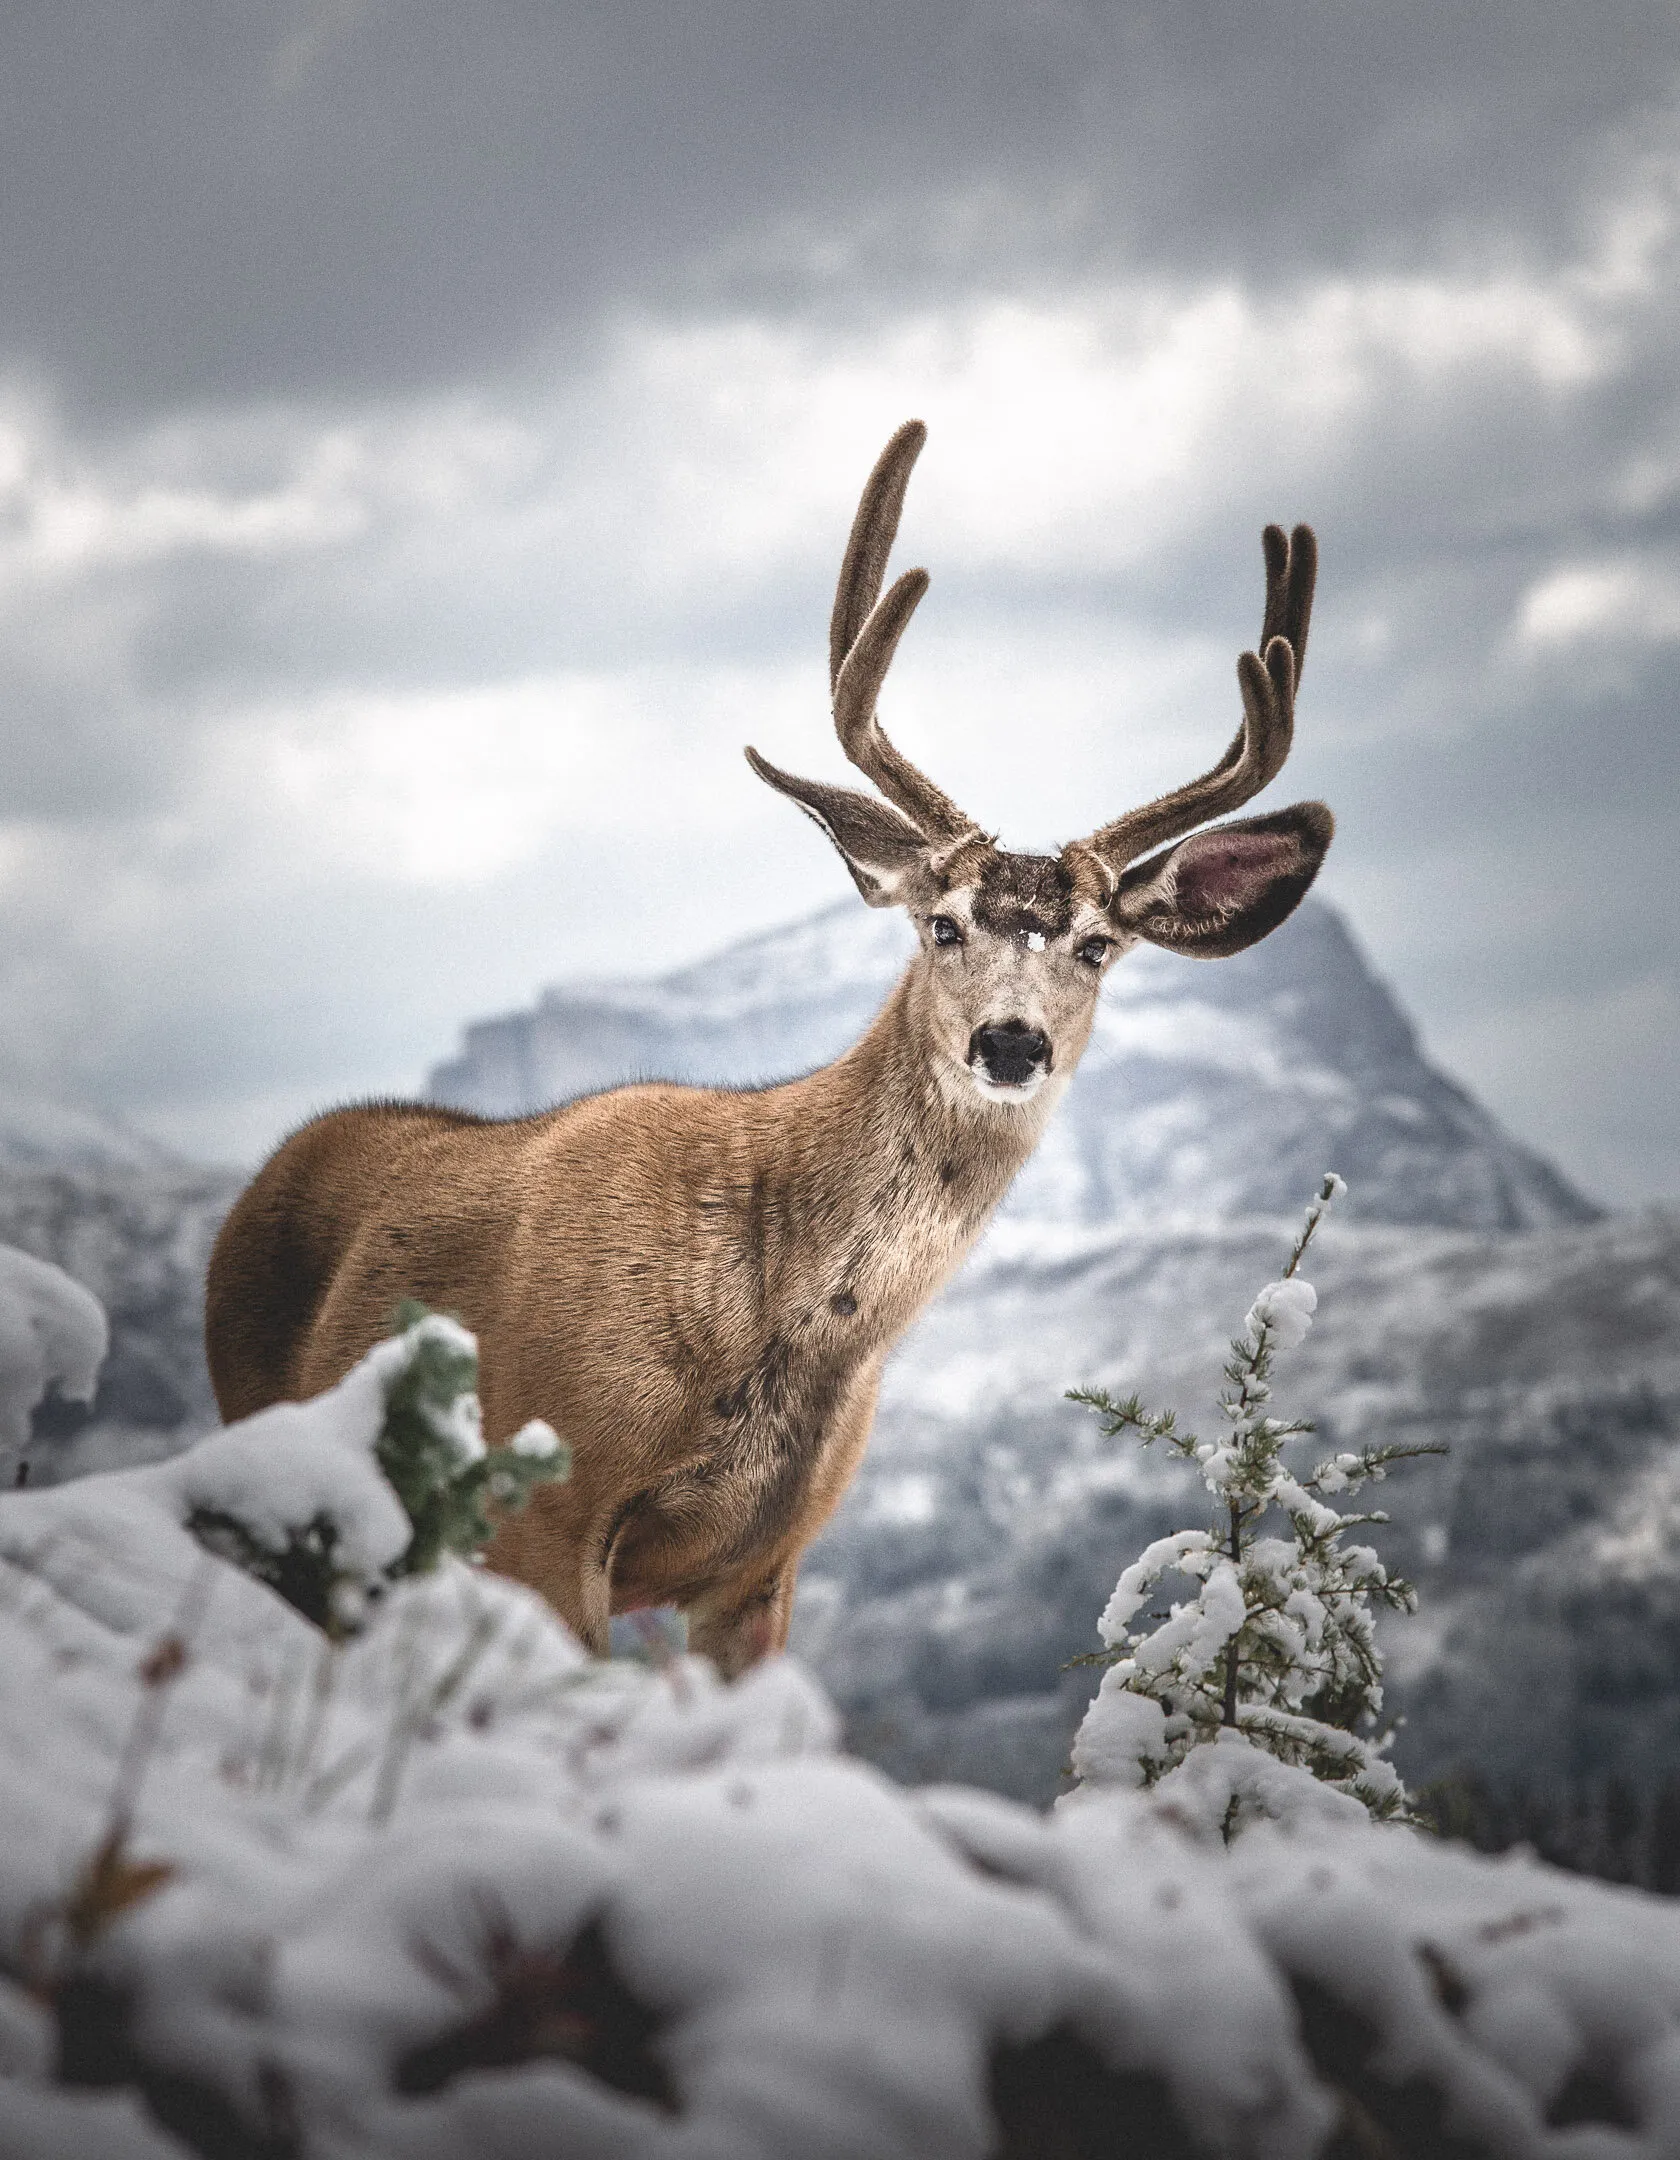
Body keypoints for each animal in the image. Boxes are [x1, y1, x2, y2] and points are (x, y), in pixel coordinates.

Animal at [204, 420, 1331, 1677]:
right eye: (942, 924)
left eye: (1096, 946)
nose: (1008, 1042)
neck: (779, 1327)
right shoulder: (541, 1515)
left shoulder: (766, 1563)